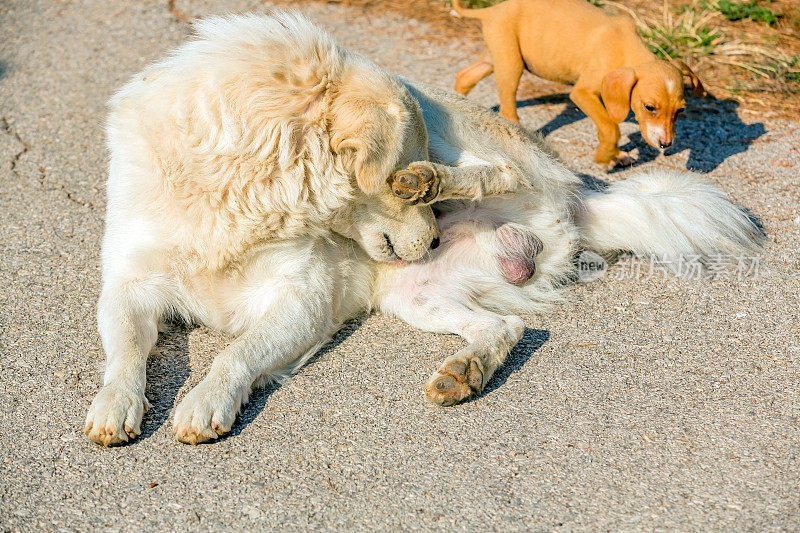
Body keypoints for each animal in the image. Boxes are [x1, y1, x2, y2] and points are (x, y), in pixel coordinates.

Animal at [454, 0, 704, 168]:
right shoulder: (582, 93)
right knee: (507, 109)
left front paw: (615, 154)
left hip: (494, 58)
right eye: (649, 107)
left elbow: (607, 125)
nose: (666, 144)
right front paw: (604, 157)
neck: (625, 48)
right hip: (511, 64)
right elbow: (610, 127)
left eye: (680, 111)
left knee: (464, 76)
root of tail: (493, 10)